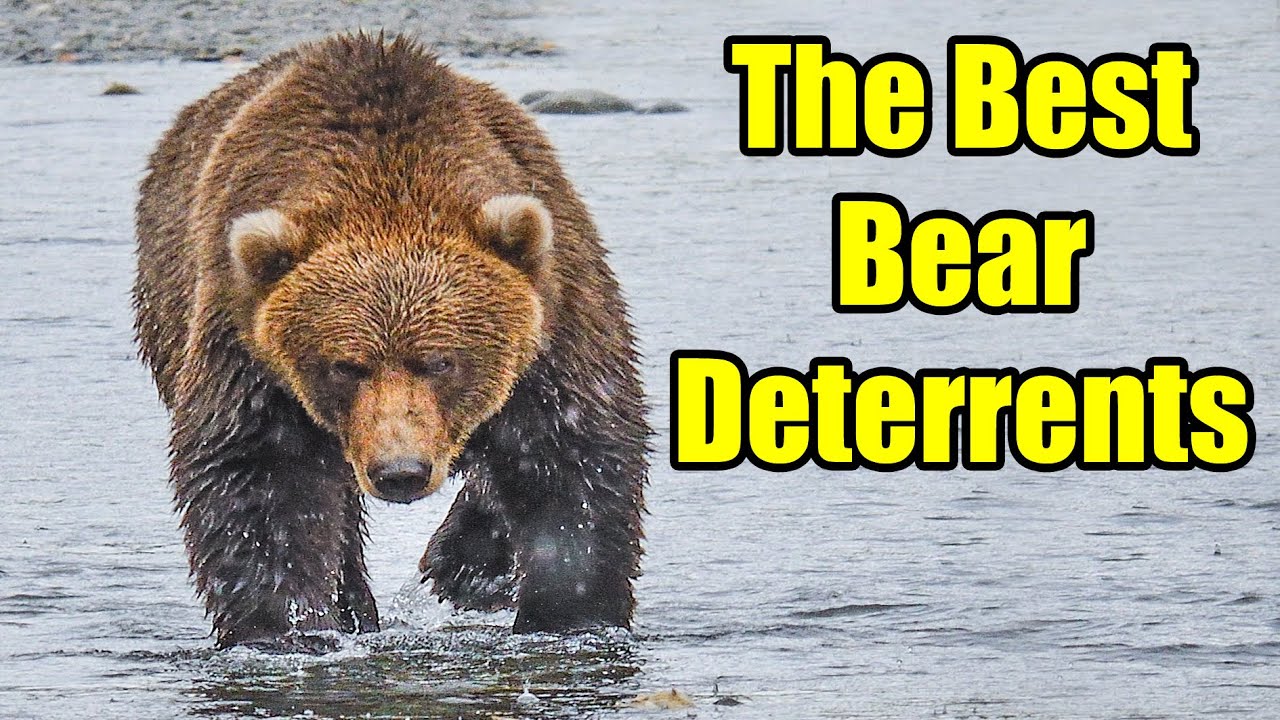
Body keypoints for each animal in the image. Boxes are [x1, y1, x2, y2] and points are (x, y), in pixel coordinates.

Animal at [133, 32, 649, 650]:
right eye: (345, 366)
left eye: (441, 361)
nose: (400, 472)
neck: (388, 186)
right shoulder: (247, 345)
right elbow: (262, 479)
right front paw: (286, 628)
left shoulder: (555, 317)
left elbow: (569, 457)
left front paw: (570, 615)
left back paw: (462, 566)